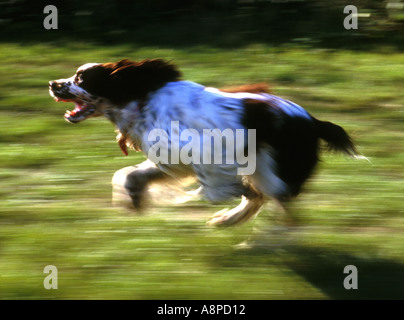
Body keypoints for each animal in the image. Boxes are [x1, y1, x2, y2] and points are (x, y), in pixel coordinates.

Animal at [49, 58, 356, 226]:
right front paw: (133, 201)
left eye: (81, 78)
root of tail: (314, 121)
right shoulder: (169, 159)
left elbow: (218, 186)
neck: (141, 99)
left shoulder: (203, 152)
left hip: (272, 167)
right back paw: (228, 221)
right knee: (269, 200)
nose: (52, 84)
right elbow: (127, 175)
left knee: (277, 204)